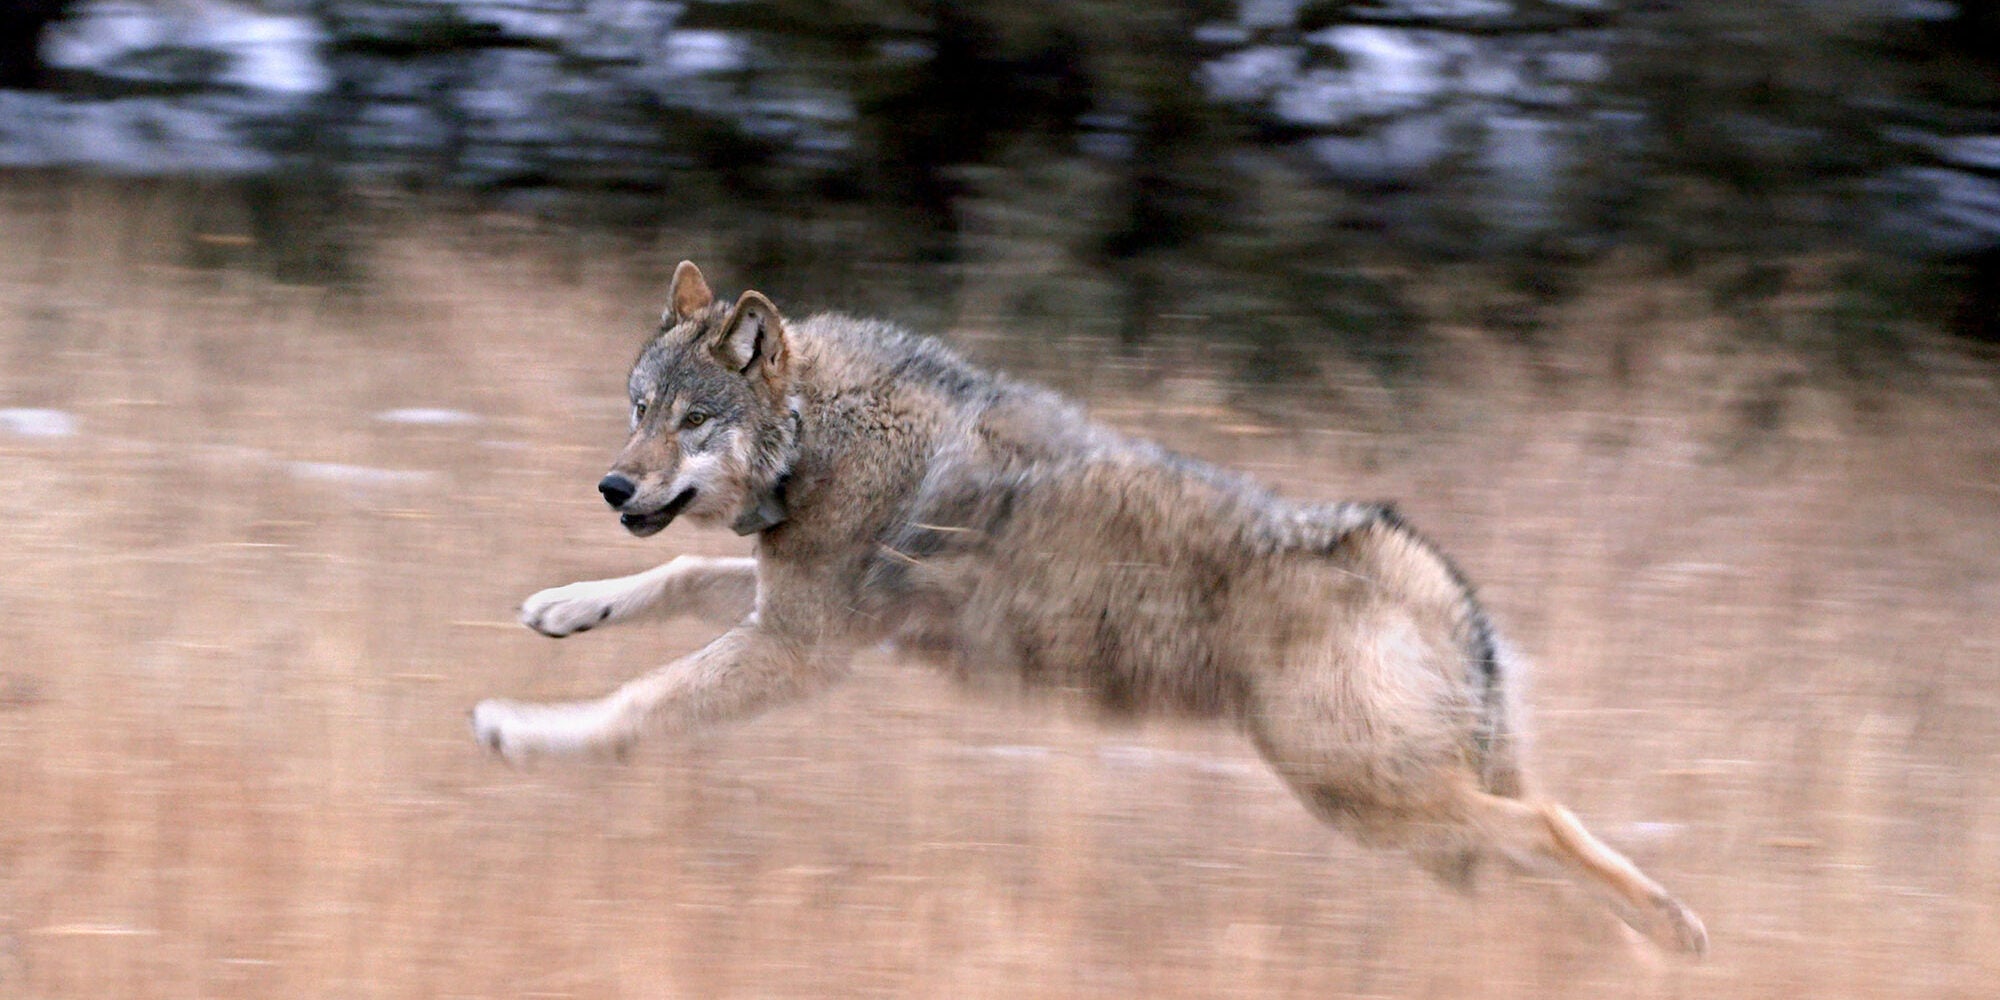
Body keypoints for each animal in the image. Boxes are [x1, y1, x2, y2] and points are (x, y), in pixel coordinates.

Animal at [471, 262, 1707, 955]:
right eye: (637, 408)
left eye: (692, 421)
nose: (612, 487)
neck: (823, 433)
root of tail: (1422, 564)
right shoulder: (790, 607)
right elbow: (671, 580)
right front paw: (563, 607)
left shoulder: (800, 647)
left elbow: (637, 705)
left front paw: (523, 733)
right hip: (1406, 819)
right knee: (1531, 849)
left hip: (1364, 796)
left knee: (1552, 826)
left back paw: (1675, 933)